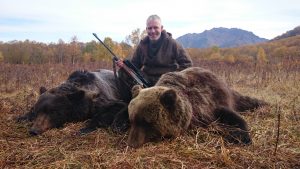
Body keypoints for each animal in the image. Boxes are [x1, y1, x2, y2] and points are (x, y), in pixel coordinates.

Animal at [126, 66, 268, 147]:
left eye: (147, 122)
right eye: (132, 120)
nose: (131, 144)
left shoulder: (206, 104)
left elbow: (229, 115)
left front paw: (243, 138)